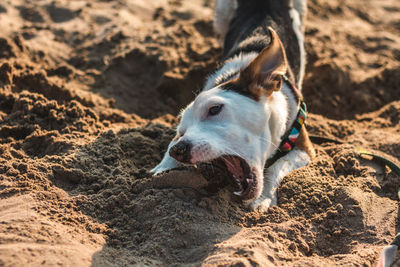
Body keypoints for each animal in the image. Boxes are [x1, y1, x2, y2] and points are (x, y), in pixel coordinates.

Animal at [152, 0, 314, 211]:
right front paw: (163, 169)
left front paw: (264, 197)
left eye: (214, 109)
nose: (178, 150)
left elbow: (277, 166)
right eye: (181, 131)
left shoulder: (305, 148)